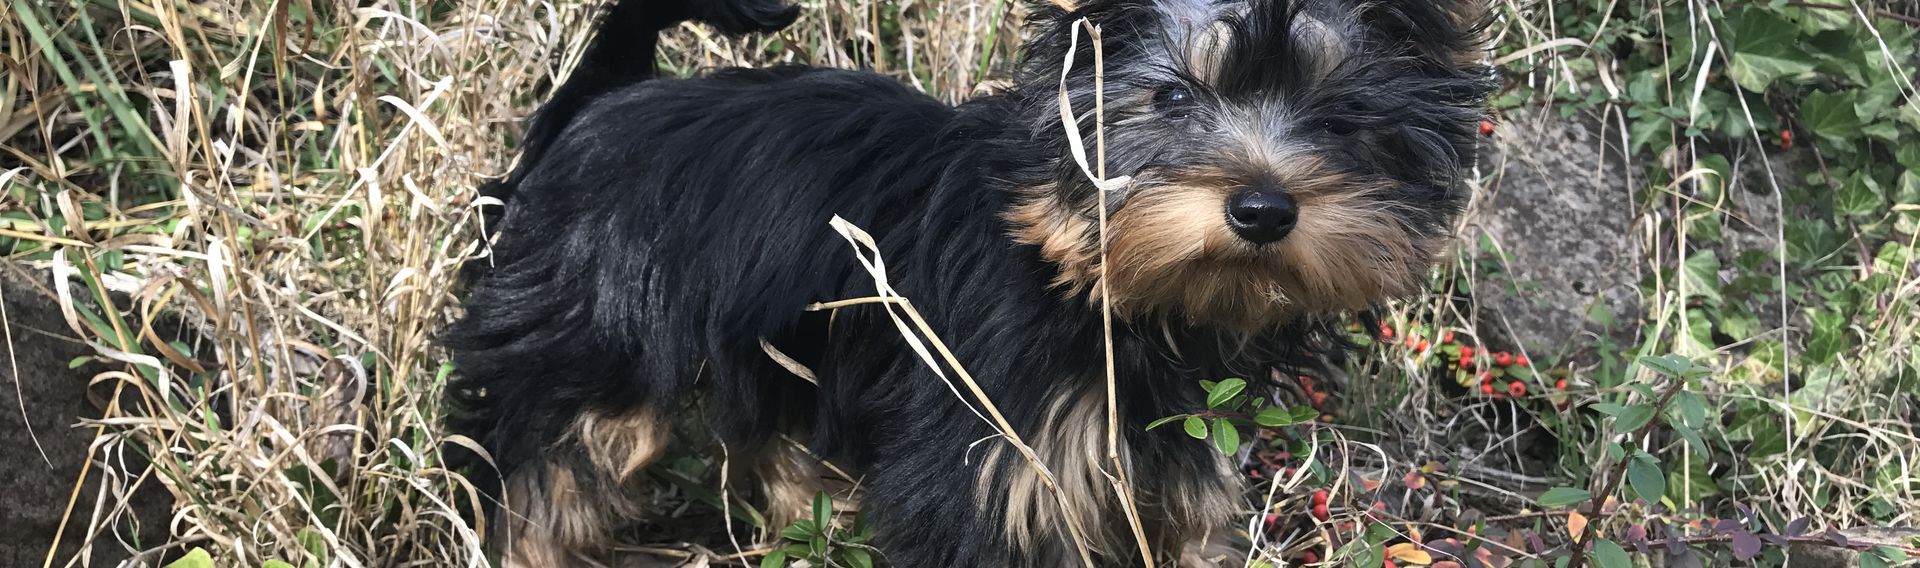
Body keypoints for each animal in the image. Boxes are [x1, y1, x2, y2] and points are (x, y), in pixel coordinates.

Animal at [453, 0, 1497, 564]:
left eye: (1342, 120)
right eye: (1170, 98)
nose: (1264, 209)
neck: (1103, 290)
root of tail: (607, 99)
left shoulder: (1168, 459)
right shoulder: (988, 459)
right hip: (592, 336)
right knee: (550, 469)